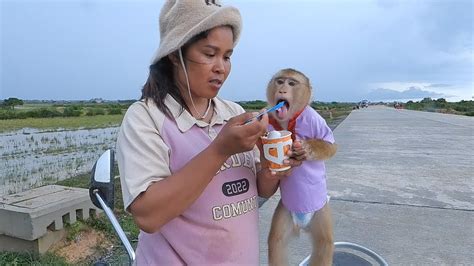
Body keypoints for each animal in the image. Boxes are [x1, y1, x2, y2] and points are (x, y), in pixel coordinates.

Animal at [266, 68, 336, 266]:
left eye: (291, 83)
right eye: (280, 81)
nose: (282, 89)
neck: (289, 120)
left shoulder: (314, 118)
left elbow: (331, 147)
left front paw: (305, 149)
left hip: (320, 213)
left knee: (324, 243)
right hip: (285, 211)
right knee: (276, 241)